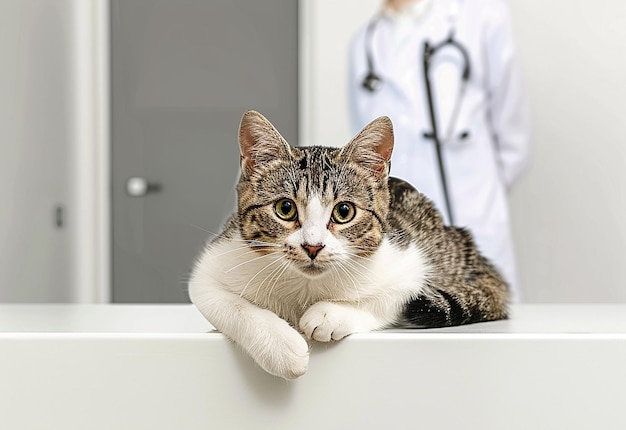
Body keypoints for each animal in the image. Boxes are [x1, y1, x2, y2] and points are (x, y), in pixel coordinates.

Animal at [189, 110, 508, 380]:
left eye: (344, 211)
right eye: (285, 208)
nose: (313, 246)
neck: (306, 287)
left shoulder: (409, 262)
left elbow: (391, 298)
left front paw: (329, 315)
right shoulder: (216, 262)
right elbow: (228, 304)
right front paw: (282, 346)